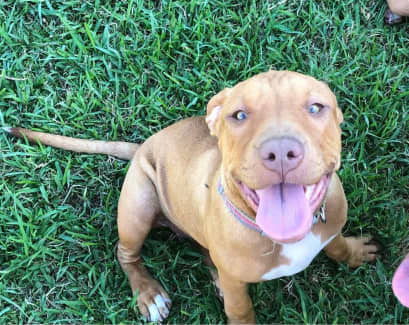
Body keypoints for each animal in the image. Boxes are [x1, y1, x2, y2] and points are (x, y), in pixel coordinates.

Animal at [3, 70, 380, 322]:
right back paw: (149, 295)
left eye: (316, 107)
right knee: (126, 254)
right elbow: (241, 309)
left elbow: (337, 245)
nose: (280, 151)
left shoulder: (330, 226)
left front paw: (355, 253)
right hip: (138, 206)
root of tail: (142, 147)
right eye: (239, 115)